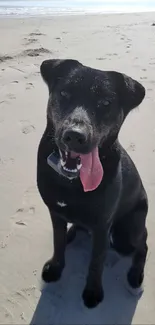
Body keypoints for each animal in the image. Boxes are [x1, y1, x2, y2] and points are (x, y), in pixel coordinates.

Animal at [37, 59, 148, 308]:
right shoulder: (55, 212)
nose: (74, 136)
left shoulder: (101, 226)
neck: (71, 182)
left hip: (127, 232)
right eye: (64, 93)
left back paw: (135, 276)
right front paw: (56, 267)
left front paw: (93, 292)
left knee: (143, 244)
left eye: (105, 102)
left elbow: (96, 263)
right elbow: (58, 242)